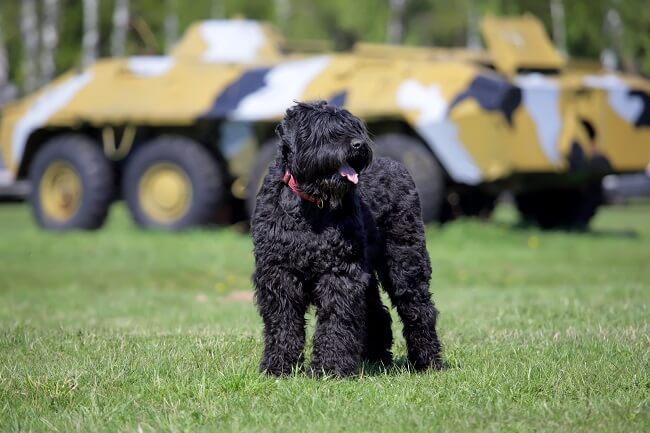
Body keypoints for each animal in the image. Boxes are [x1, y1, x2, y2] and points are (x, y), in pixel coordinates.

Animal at [248, 100, 440, 374]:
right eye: (325, 130)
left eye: (354, 126)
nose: (358, 144)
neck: (310, 204)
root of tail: (398, 166)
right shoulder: (278, 272)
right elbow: (282, 321)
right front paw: (278, 366)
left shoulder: (339, 271)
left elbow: (336, 319)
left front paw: (330, 367)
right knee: (376, 311)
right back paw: (376, 357)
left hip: (405, 261)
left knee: (418, 308)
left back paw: (427, 361)